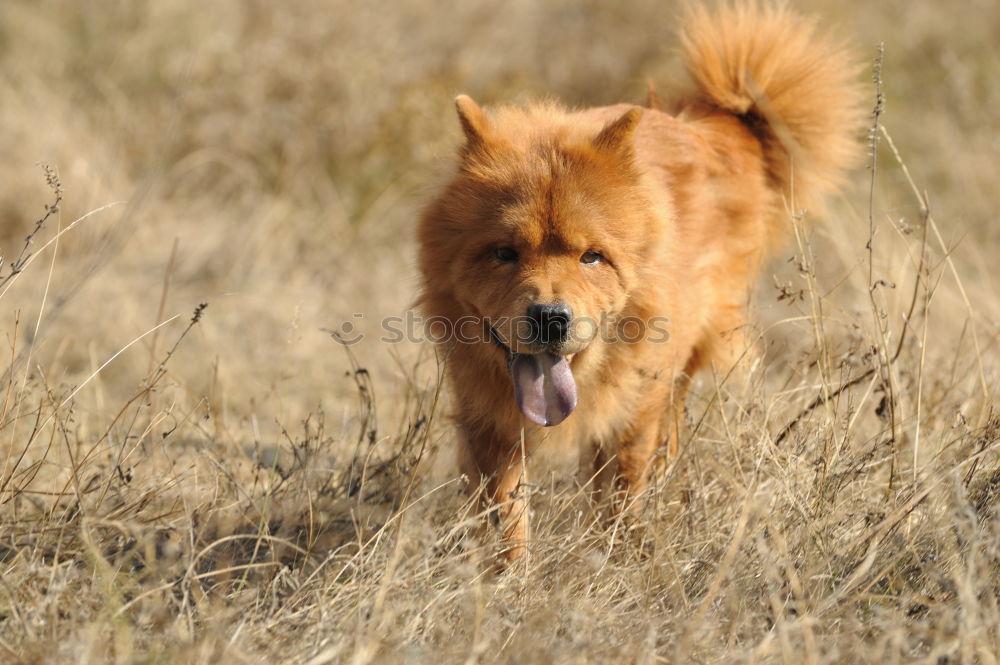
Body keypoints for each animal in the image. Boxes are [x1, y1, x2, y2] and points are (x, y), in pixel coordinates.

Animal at [414, 3, 860, 560]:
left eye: (592, 257)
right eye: (504, 253)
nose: (550, 318)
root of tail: (707, 125)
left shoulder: (635, 407)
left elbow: (623, 494)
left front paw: (618, 560)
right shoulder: (487, 421)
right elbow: (505, 519)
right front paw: (509, 576)